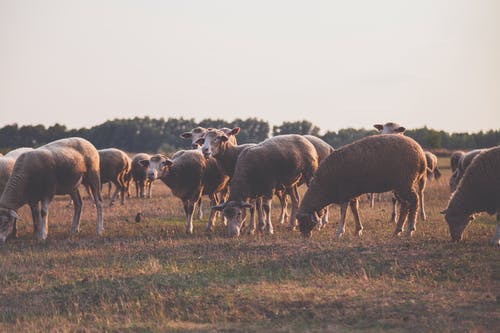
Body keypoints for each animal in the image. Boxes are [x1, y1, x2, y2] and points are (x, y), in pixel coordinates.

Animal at [296, 135, 426, 239]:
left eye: (303, 221)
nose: (304, 237)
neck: (323, 186)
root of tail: (421, 155)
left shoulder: (344, 193)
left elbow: (343, 212)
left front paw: (339, 232)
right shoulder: (351, 194)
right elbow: (355, 209)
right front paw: (358, 230)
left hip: (405, 183)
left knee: (414, 201)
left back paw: (410, 229)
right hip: (400, 185)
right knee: (405, 205)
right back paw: (397, 230)